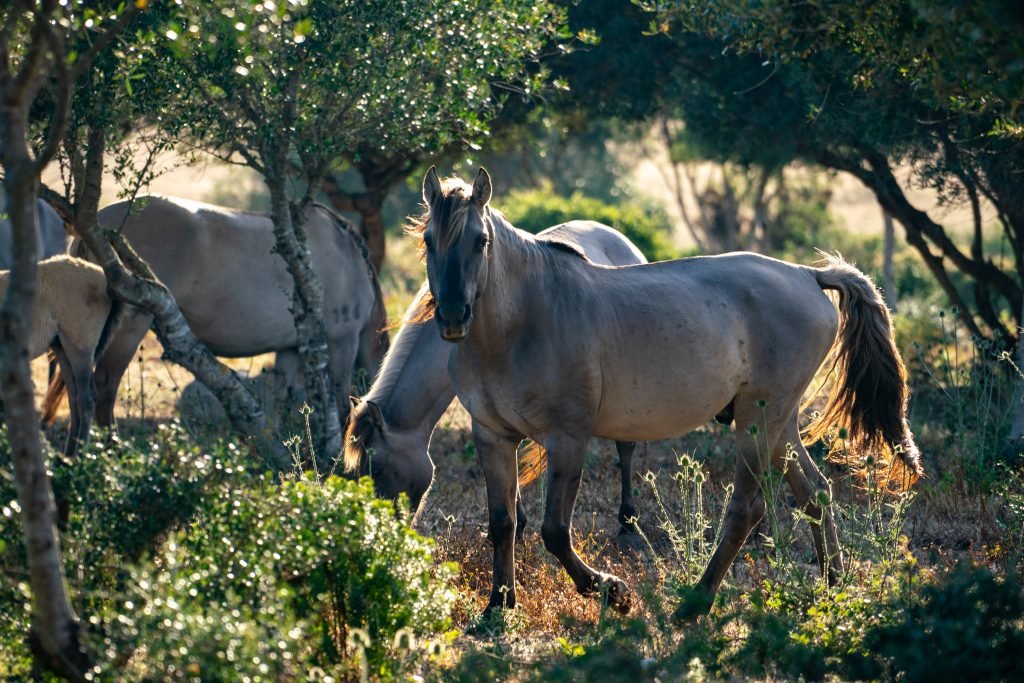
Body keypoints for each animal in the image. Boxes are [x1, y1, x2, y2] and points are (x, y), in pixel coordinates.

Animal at [0, 256, 124, 457]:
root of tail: (103, 278)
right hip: (61, 349)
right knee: (74, 397)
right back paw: (67, 456)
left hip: (80, 350)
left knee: (87, 397)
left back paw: (79, 457)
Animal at [46, 195, 388, 431]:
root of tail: (95, 226)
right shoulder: (342, 341)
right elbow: (341, 404)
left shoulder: (292, 350)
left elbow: (287, 402)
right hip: (131, 324)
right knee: (105, 384)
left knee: (78, 388)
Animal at [343, 220, 648, 536]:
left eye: (377, 469)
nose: (379, 529)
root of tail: (617, 237)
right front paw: (519, 521)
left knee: (626, 446)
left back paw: (628, 520)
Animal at [415, 167, 922, 617]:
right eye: (428, 241)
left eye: (480, 241)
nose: (453, 317)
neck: (523, 321)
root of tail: (805, 275)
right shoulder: (492, 436)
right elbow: (502, 524)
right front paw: (498, 605)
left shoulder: (568, 438)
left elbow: (555, 531)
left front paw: (613, 592)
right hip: (779, 423)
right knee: (816, 493)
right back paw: (833, 585)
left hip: (757, 423)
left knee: (748, 508)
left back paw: (695, 604)